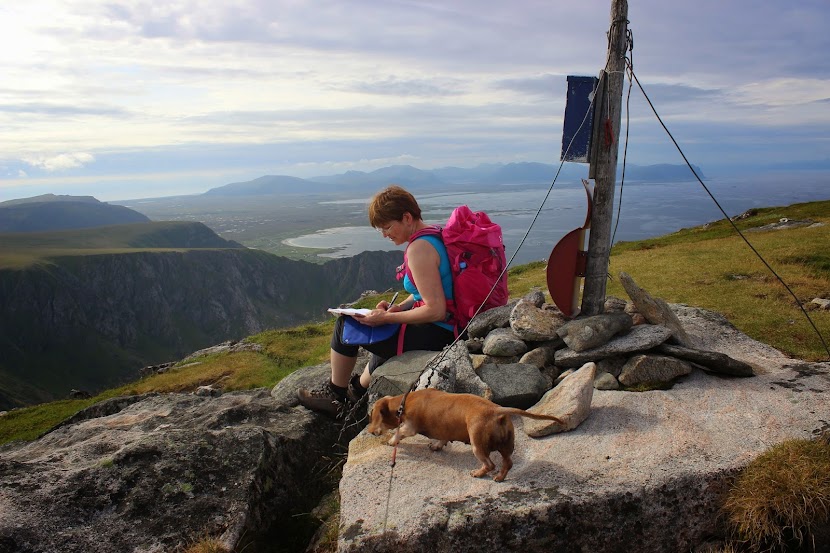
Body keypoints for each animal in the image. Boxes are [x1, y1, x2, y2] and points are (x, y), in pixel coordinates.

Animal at [370, 386, 564, 480]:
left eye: (373, 416)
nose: (371, 432)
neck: (404, 403)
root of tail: (497, 411)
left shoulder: (409, 427)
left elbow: (399, 433)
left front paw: (391, 441)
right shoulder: (444, 429)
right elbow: (442, 439)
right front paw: (436, 446)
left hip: (478, 445)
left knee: (490, 465)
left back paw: (478, 473)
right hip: (506, 445)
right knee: (507, 463)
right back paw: (499, 478)